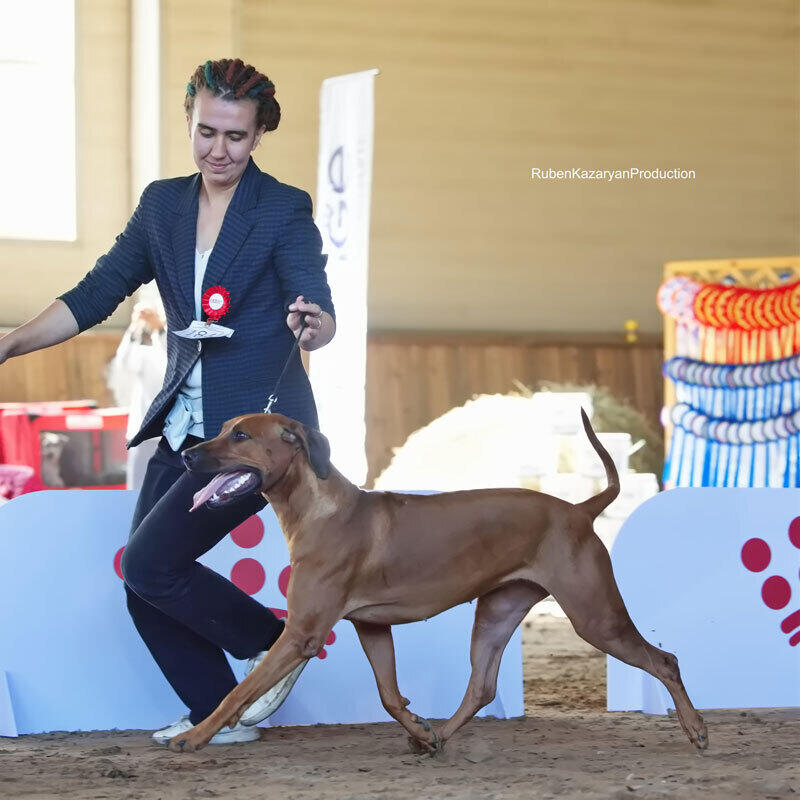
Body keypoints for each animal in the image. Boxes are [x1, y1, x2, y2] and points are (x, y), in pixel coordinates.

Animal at [169, 412, 708, 756]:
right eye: (221, 429)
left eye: (240, 435)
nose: (186, 455)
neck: (322, 508)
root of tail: (579, 510)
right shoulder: (371, 627)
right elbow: (388, 694)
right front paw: (420, 730)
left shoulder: (303, 632)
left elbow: (237, 692)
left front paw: (195, 737)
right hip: (496, 613)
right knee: (482, 687)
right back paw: (442, 737)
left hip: (595, 615)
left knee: (665, 660)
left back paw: (696, 728)